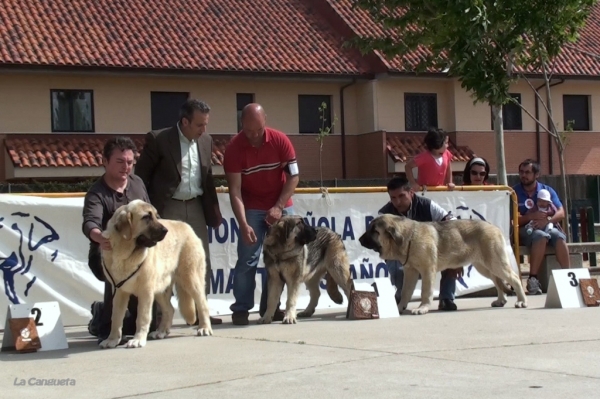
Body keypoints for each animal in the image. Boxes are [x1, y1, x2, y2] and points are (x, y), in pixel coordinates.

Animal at [102, 202, 214, 348]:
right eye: (146, 217)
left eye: (157, 216)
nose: (165, 230)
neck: (126, 252)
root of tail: (187, 226)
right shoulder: (120, 291)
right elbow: (116, 317)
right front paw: (112, 340)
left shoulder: (145, 291)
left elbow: (142, 317)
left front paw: (138, 339)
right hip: (160, 287)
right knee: (169, 309)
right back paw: (161, 332)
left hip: (191, 279)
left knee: (202, 304)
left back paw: (204, 328)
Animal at [358, 216, 528, 316]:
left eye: (374, 231)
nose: (359, 239)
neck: (408, 238)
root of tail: (495, 226)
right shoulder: (410, 272)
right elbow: (406, 292)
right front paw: (399, 307)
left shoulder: (427, 271)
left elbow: (425, 292)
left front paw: (422, 308)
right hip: (485, 266)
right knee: (498, 282)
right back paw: (501, 301)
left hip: (495, 263)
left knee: (514, 278)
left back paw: (521, 301)